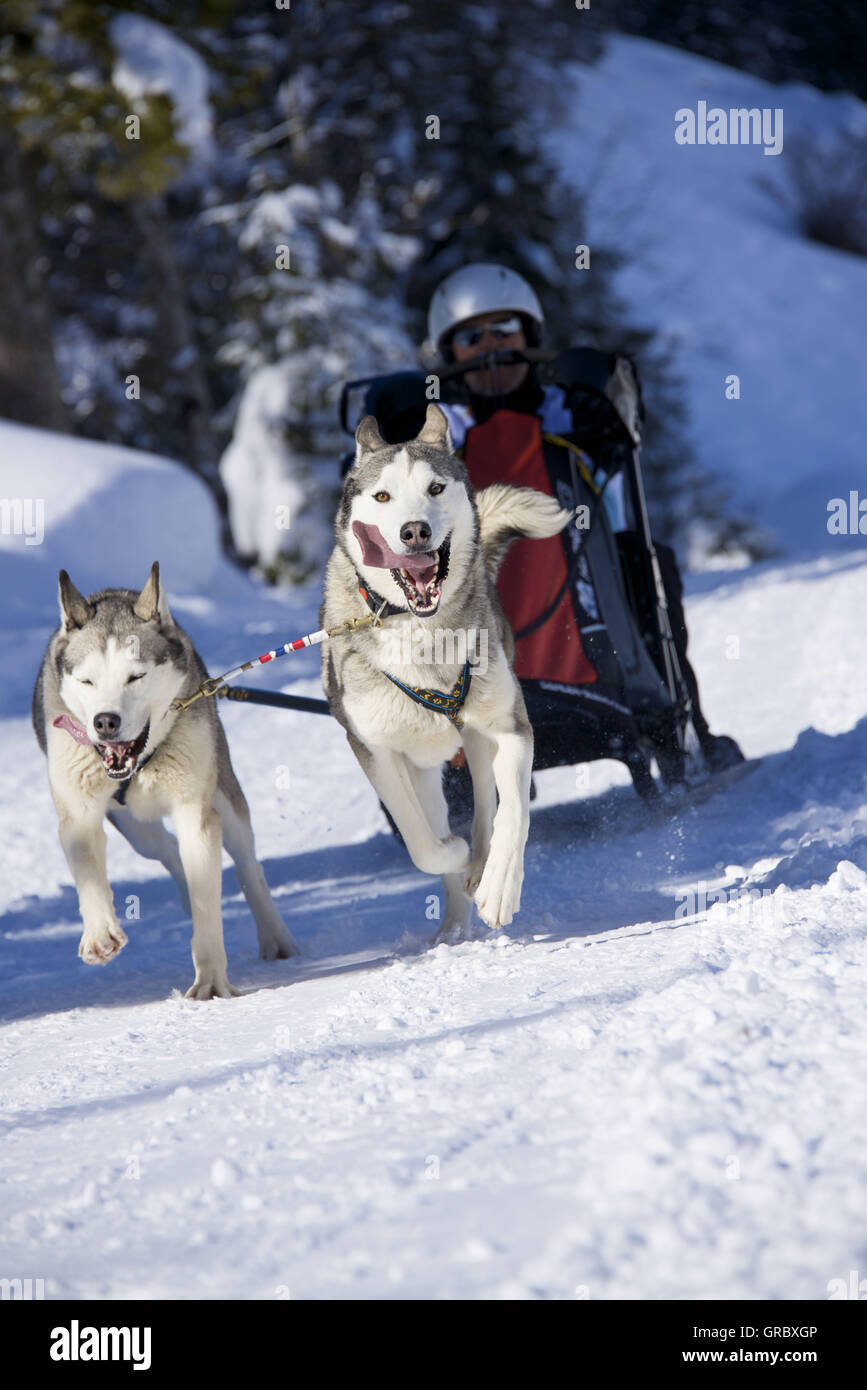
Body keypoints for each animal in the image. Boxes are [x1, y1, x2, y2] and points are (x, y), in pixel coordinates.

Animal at [32, 558, 297, 995]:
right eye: (86, 680)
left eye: (135, 677)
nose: (105, 721)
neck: (142, 762)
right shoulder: (79, 816)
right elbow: (88, 874)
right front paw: (100, 933)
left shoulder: (196, 813)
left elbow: (209, 900)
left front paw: (210, 981)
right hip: (134, 827)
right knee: (169, 850)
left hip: (224, 797)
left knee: (247, 865)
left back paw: (275, 936)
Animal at [322, 405, 572, 945]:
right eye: (382, 496)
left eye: (435, 488)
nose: (414, 531)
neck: (419, 630)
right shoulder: (374, 749)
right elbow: (422, 845)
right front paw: (452, 854)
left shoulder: (510, 727)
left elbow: (512, 814)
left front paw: (498, 886)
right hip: (424, 768)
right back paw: (453, 922)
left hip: (476, 738)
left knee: (485, 802)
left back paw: (481, 869)